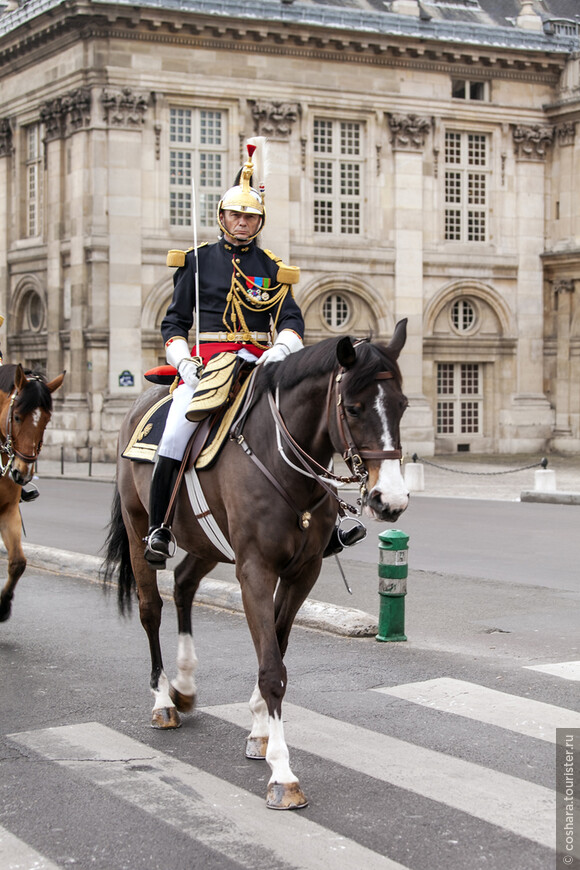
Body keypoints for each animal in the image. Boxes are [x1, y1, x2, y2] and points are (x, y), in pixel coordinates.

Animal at [0, 364, 65, 624]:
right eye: (17, 416)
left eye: (46, 420)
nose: (22, 474)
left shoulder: (8, 510)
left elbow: (18, 562)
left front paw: (3, 606)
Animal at [102, 320, 410, 812]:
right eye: (354, 407)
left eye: (402, 405)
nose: (391, 501)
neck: (281, 460)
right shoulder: (255, 572)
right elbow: (272, 670)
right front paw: (282, 773)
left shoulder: (303, 572)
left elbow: (277, 650)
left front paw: (261, 730)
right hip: (138, 534)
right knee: (151, 608)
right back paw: (162, 700)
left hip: (205, 541)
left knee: (184, 585)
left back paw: (184, 688)